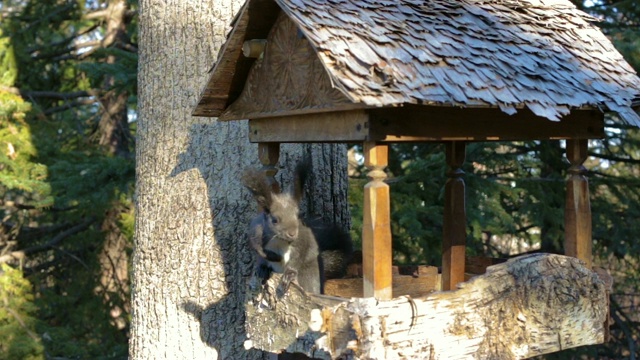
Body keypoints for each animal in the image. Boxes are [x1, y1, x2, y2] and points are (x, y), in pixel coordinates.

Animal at [244, 160, 356, 296]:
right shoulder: (256, 230)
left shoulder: (302, 239)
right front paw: (269, 257)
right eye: (275, 220)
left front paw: (289, 273)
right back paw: (262, 269)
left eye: (298, 216)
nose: (292, 233)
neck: (279, 240)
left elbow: (299, 254)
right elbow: (256, 246)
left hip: (309, 274)